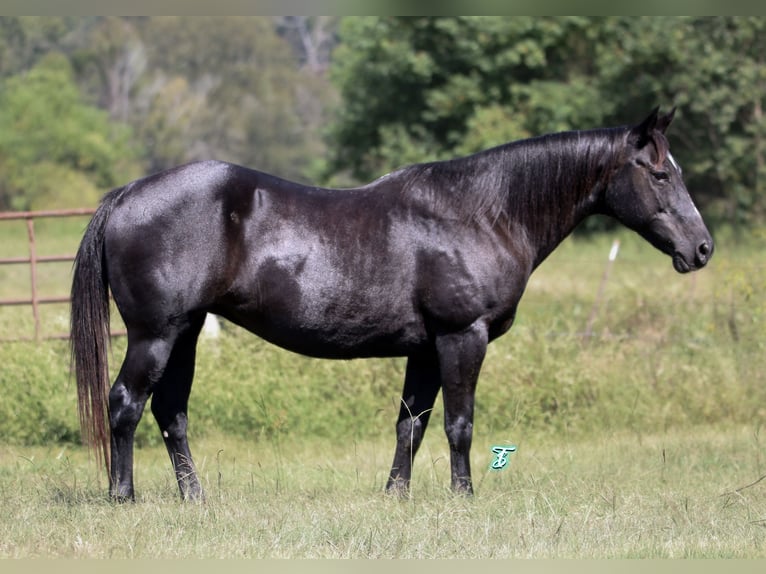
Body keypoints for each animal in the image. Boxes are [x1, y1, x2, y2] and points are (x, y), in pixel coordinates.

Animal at [70, 107, 712, 500]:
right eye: (658, 174)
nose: (701, 249)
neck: (480, 213)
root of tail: (127, 194)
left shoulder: (425, 350)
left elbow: (412, 425)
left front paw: (396, 495)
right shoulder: (461, 337)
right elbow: (458, 424)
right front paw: (464, 495)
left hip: (185, 331)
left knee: (170, 412)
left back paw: (195, 497)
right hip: (155, 334)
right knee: (125, 404)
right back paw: (123, 495)